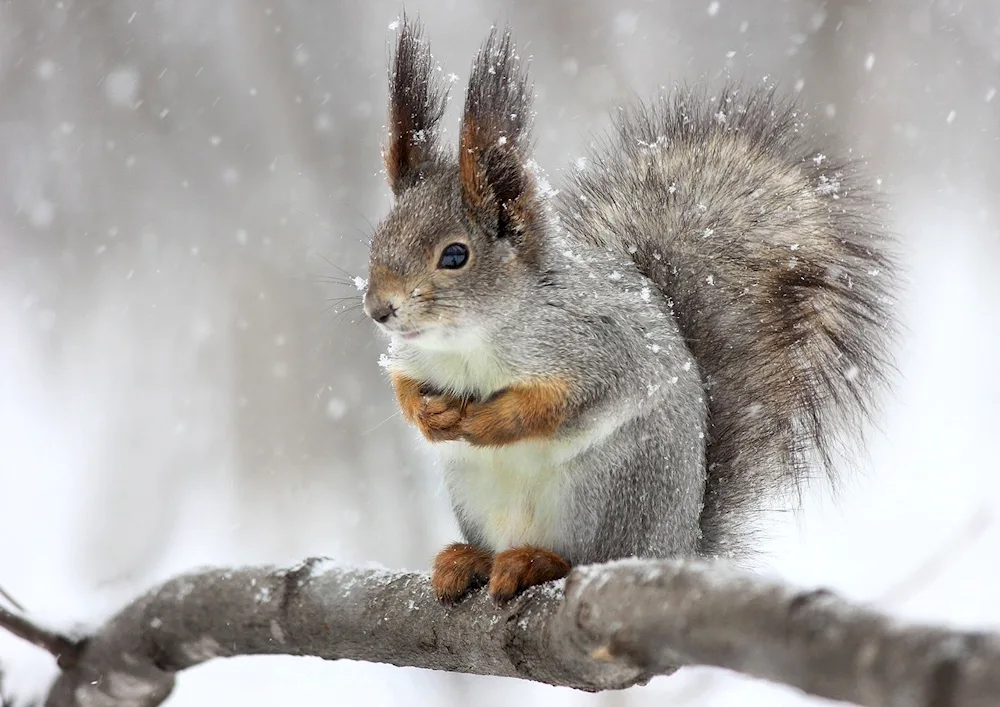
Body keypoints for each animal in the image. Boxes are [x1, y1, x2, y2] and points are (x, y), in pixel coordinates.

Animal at [362, 19, 900, 604]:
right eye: (377, 237)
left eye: (455, 256)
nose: (378, 309)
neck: (470, 337)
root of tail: (677, 546)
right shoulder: (413, 357)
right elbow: (402, 384)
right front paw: (427, 414)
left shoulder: (600, 345)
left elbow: (565, 401)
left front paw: (489, 420)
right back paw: (469, 560)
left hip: (609, 490)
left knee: (585, 559)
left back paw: (534, 562)